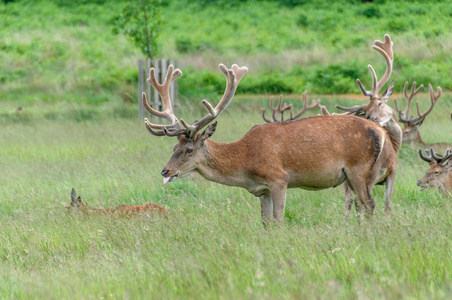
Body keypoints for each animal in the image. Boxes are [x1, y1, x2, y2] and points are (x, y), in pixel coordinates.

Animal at [141, 35, 400, 224]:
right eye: (174, 147)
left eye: (189, 150)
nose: (165, 171)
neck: (246, 162)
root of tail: (380, 132)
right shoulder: (261, 189)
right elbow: (265, 222)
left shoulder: (278, 178)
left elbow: (278, 219)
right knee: (364, 205)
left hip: (359, 169)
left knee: (369, 204)